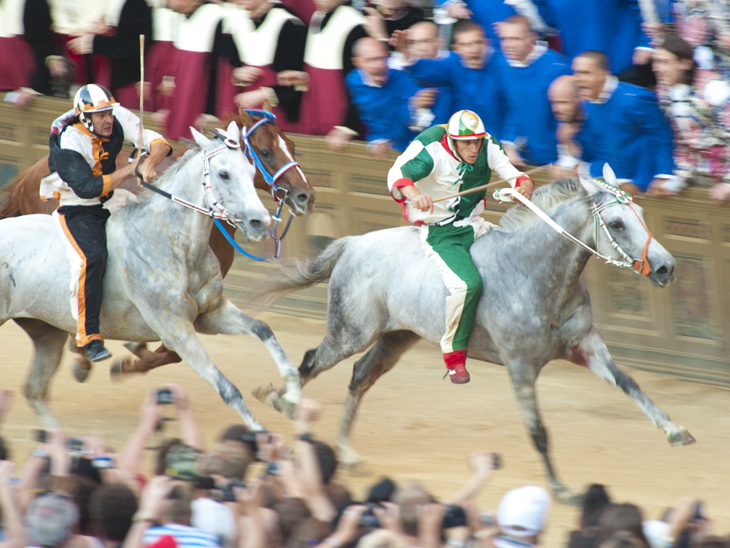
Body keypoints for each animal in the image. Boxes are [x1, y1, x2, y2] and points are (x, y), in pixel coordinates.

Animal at [0, 121, 298, 432]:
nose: (260, 222)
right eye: (224, 174)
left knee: (34, 390)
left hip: (46, 332)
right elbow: (227, 388)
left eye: (251, 171)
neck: (170, 243)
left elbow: (264, 330)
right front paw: (261, 434)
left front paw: (288, 397)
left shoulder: (210, 314)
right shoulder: (175, 329)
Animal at [255, 176, 692, 500]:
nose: (666, 267)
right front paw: (559, 488)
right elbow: (539, 431)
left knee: (361, 376)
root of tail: (353, 243)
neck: (531, 273)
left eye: (640, 214)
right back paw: (283, 399)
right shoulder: (520, 366)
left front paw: (674, 430)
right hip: (350, 332)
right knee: (312, 360)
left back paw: (346, 452)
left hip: (396, 337)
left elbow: (629, 383)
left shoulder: (585, 345)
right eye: (617, 223)